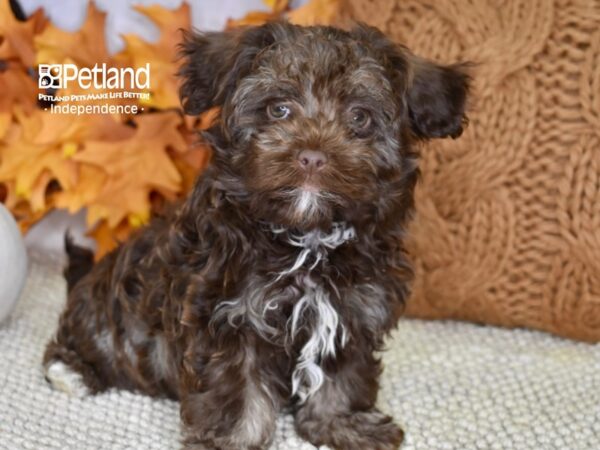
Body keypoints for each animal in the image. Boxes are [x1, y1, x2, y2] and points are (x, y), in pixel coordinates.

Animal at [44, 21, 472, 450]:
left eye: (360, 117)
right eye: (278, 108)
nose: (312, 156)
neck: (305, 240)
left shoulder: (352, 312)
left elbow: (342, 377)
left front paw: (342, 425)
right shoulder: (230, 317)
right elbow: (238, 395)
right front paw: (231, 441)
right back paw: (72, 373)